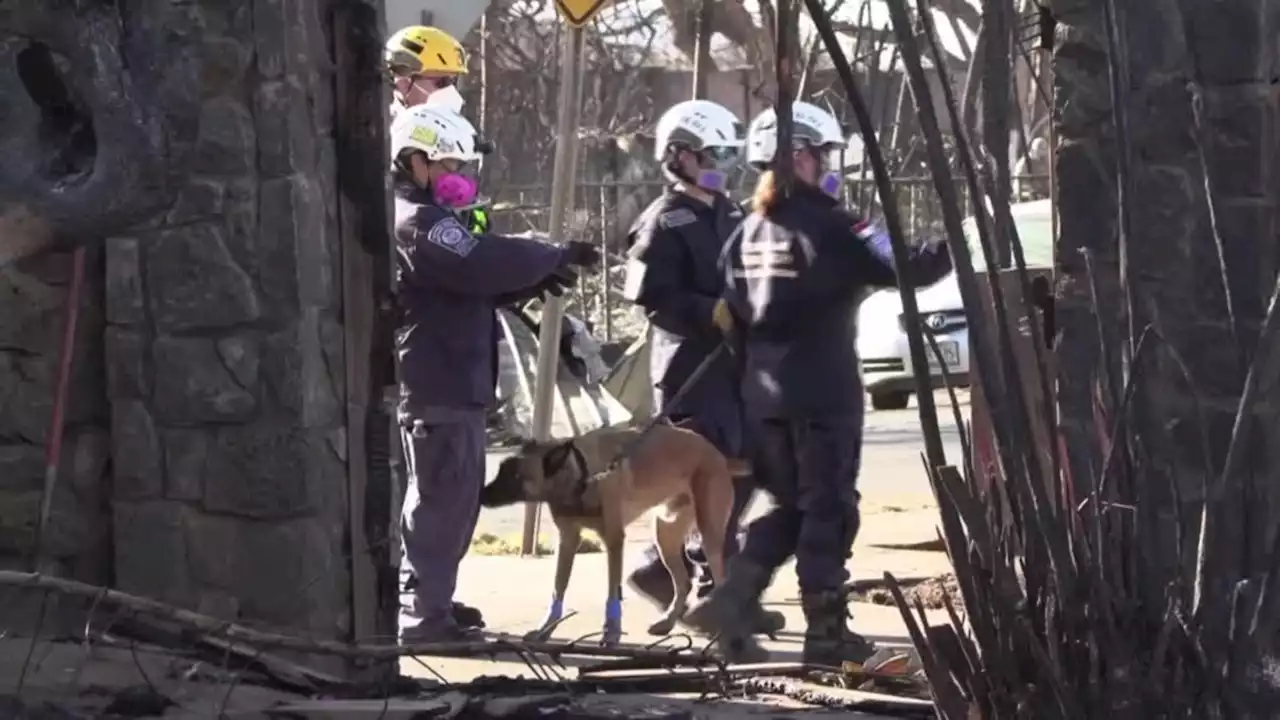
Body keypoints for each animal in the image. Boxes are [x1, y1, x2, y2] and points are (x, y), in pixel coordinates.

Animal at [478, 420, 742, 645]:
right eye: (500, 470)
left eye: (516, 476)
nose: (482, 495)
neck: (581, 475)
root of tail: (718, 455)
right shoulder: (568, 541)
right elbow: (558, 587)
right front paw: (546, 628)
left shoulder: (614, 541)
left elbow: (613, 592)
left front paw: (612, 631)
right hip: (665, 535)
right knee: (683, 582)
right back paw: (667, 622)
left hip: (709, 535)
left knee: (720, 579)